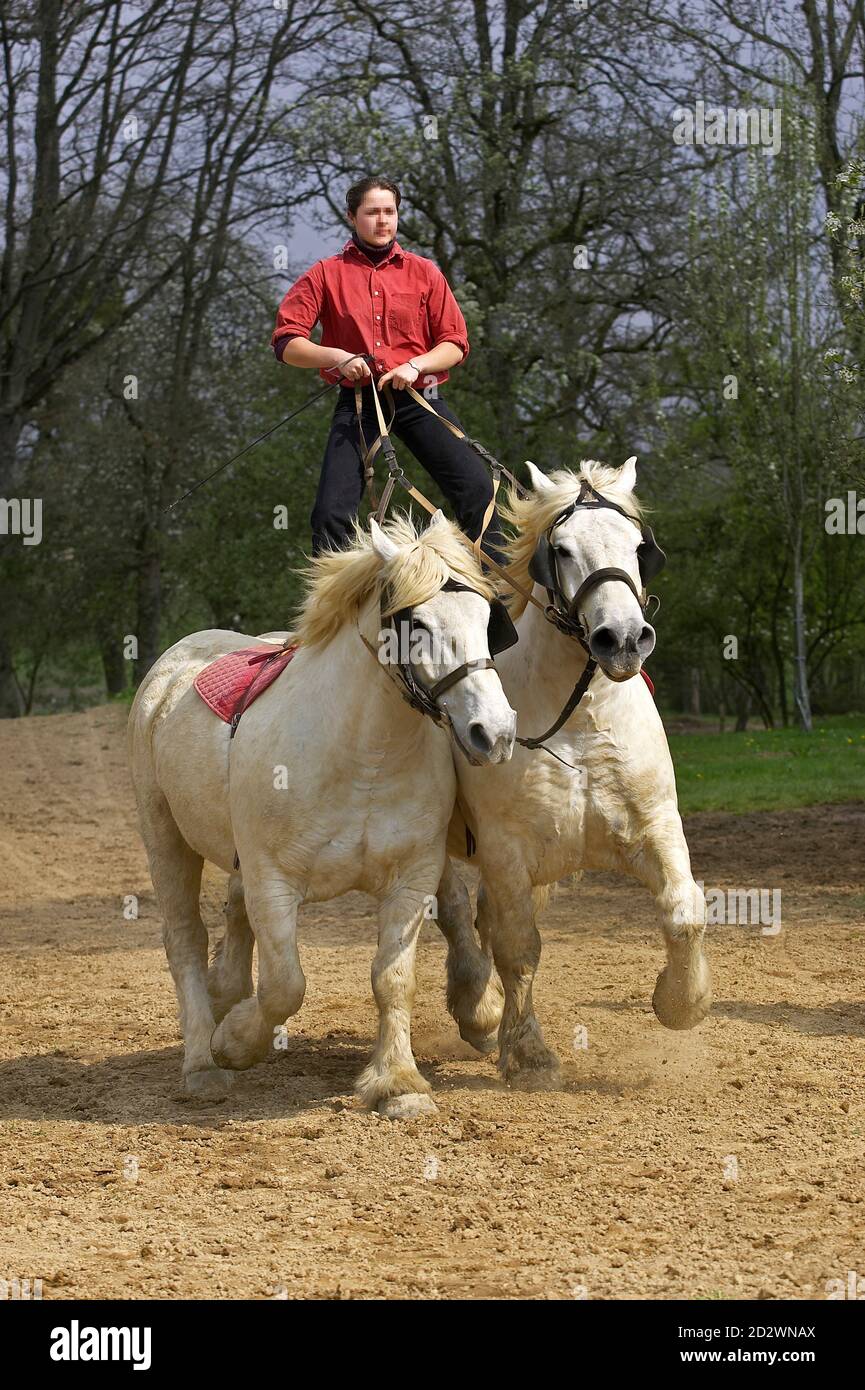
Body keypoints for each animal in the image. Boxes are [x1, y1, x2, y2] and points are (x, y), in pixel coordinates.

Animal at [127, 510, 517, 1116]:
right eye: (418, 624)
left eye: (485, 619)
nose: (494, 733)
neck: (363, 754)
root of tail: (171, 666)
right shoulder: (272, 879)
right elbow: (285, 985)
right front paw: (234, 1043)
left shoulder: (412, 877)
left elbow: (393, 979)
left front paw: (397, 1083)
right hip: (164, 836)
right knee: (184, 939)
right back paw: (201, 1063)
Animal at [436, 455, 711, 1088]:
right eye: (560, 550)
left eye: (638, 546)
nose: (625, 639)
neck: (580, 718)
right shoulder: (506, 850)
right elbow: (518, 948)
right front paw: (530, 1057)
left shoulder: (655, 826)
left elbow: (683, 911)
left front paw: (680, 1004)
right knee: (457, 915)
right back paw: (477, 1011)